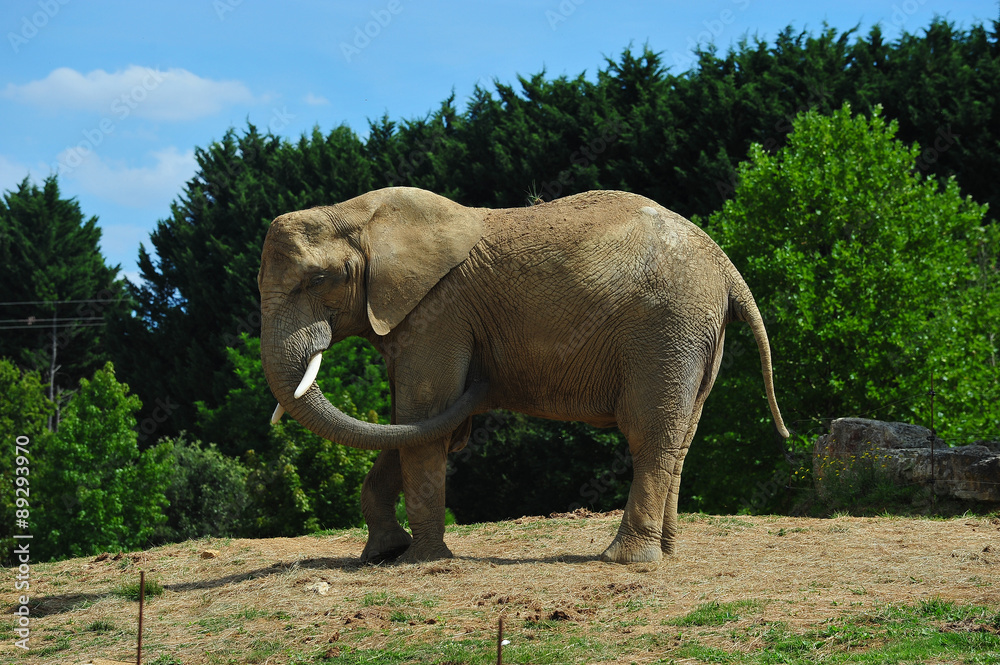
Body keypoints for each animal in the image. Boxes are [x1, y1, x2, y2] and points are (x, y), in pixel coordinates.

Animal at [258, 186, 788, 564]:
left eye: (317, 280)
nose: (488, 376)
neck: (356, 213)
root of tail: (726, 266)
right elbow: (406, 422)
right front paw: (384, 553)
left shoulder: (439, 310)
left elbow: (424, 416)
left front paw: (421, 560)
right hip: (696, 333)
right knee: (682, 435)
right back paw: (667, 553)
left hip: (665, 327)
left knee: (649, 432)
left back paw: (626, 559)